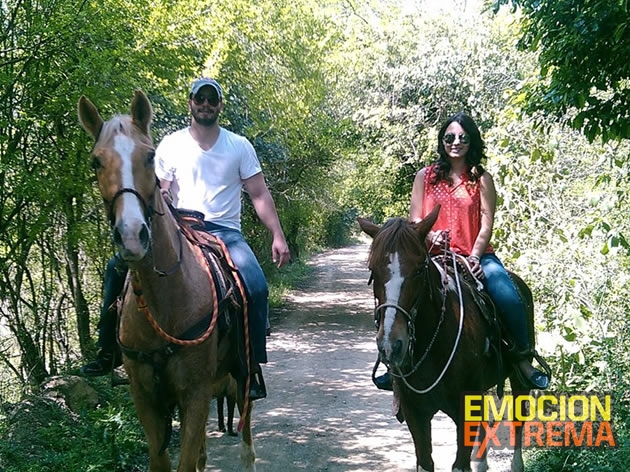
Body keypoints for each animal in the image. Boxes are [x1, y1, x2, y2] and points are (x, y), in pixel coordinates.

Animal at [79, 90, 256, 470]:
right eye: (96, 162)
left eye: (149, 157)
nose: (132, 236)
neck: (164, 302)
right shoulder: (146, 398)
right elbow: (162, 459)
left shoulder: (196, 393)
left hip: (240, 373)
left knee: (246, 413)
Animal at [360, 207, 540, 472]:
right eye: (373, 271)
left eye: (419, 269)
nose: (392, 345)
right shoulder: (415, 414)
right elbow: (425, 461)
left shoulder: (464, 411)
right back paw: (481, 461)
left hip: (519, 379)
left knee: (519, 418)